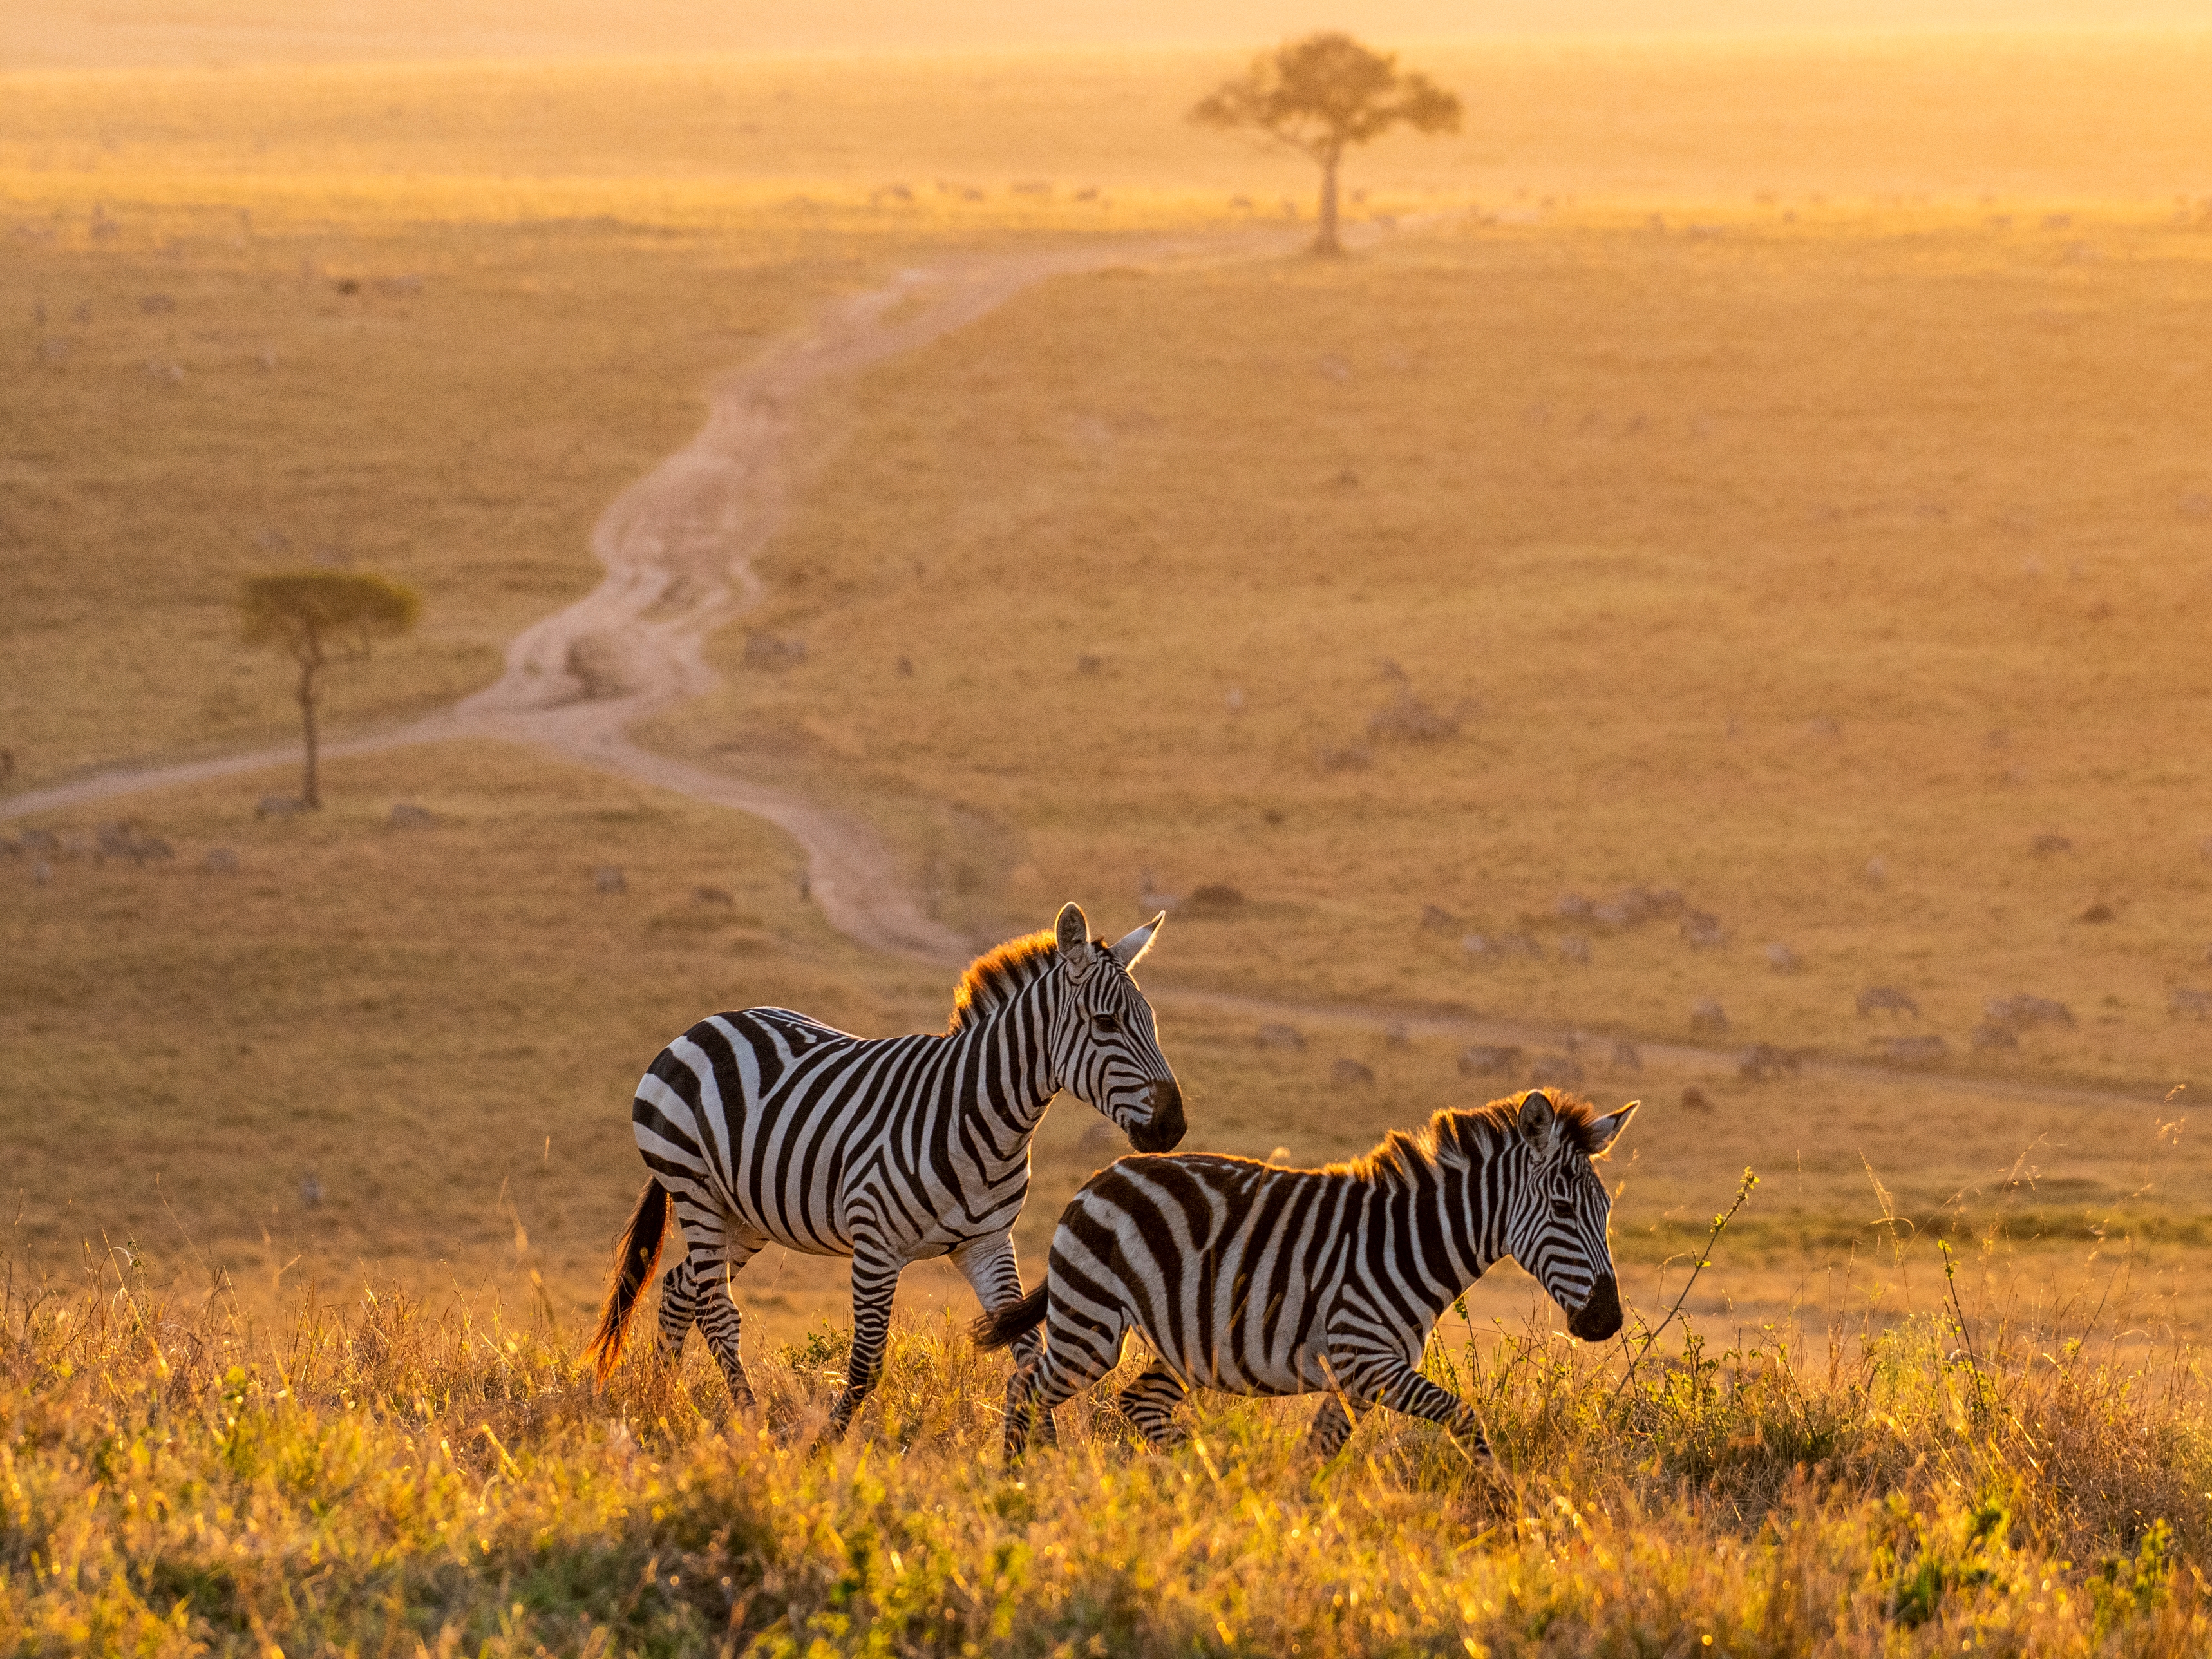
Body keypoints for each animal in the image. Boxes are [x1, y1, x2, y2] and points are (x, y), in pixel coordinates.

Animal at [589, 902, 1185, 1439]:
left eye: (1153, 1024)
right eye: (1106, 1023)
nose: (1172, 1127)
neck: (979, 1115)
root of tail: (705, 1024)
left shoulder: (988, 1243)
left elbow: (1026, 1350)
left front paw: (1041, 1455)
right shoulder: (875, 1245)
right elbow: (865, 1366)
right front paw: (822, 1450)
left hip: (748, 1214)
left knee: (679, 1289)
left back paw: (662, 1404)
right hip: (697, 1191)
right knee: (716, 1310)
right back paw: (748, 1421)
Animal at [976, 1088, 1635, 1463]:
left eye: (1606, 1210)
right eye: (1562, 1210)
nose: (1607, 1320)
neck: (1411, 1243)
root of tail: (1101, 1176)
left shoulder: (1357, 1382)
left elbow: (1315, 1460)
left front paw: (1295, 1524)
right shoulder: (1366, 1362)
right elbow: (1466, 1420)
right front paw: (1509, 1516)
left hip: (1180, 1344)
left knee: (1137, 1402)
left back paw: (1207, 1477)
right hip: (1090, 1326)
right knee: (1024, 1388)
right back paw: (1014, 1486)